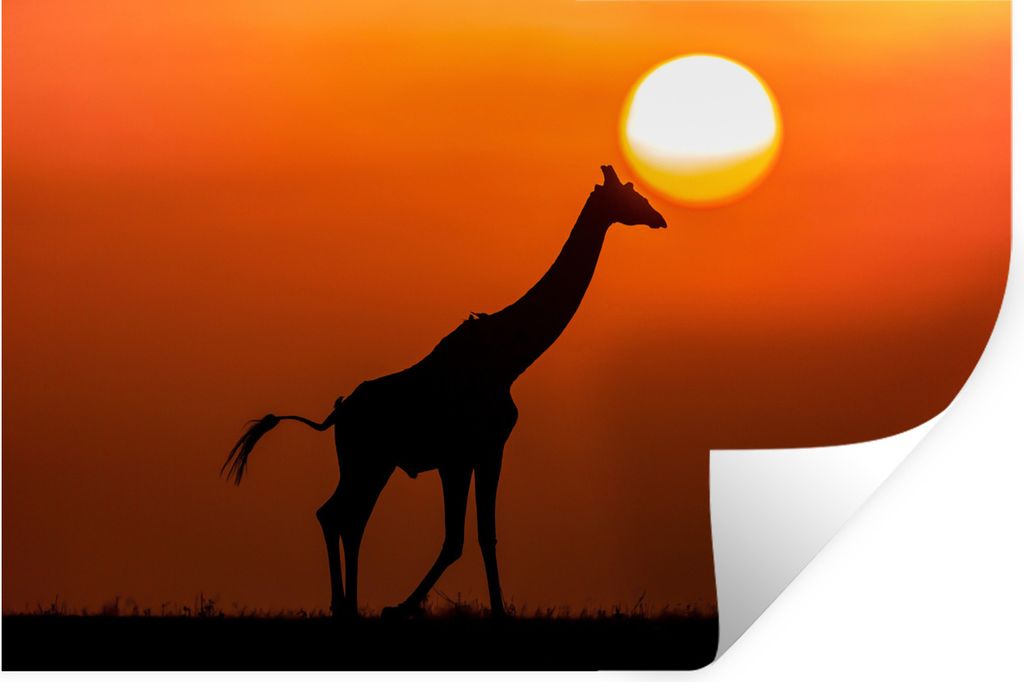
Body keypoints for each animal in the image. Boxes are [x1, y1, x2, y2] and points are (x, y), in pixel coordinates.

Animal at [223, 165, 667, 619]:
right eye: (628, 196)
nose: (659, 218)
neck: (510, 359)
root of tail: (336, 414)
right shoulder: (473, 451)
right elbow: (465, 537)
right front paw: (424, 608)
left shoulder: (470, 454)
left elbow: (472, 536)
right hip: (367, 459)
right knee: (341, 515)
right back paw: (346, 606)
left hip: (371, 463)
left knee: (342, 515)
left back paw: (348, 605)